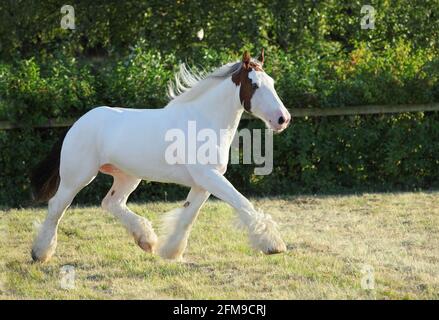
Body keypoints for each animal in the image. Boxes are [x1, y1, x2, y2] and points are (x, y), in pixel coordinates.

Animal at [31, 49, 292, 260]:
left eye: (272, 82)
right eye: (254, 85)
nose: (283, 119)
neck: (204, 120)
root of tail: (77, 124)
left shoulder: (203, 182)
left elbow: (188, 217)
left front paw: (170, 252)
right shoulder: (209, 176)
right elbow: (242, 203)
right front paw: (273, 245)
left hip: (128, 176)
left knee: (111, 203)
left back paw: (146, 241)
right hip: (77, 177)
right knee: (56, 207)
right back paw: (40, 254)